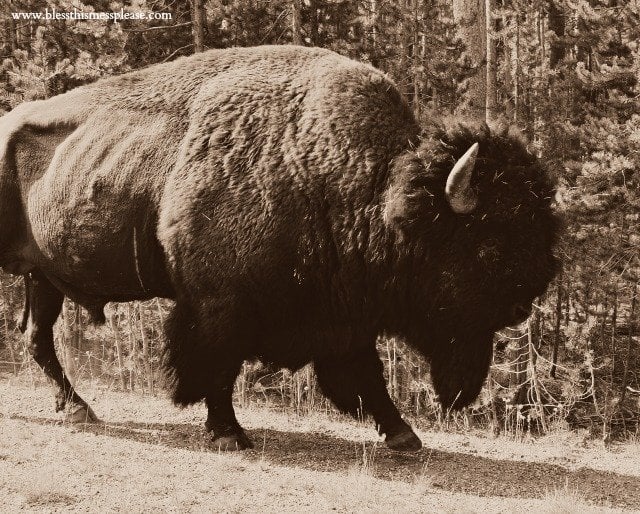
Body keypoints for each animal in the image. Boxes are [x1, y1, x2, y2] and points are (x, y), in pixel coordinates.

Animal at [0, 46, 556, 450]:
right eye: (489, 245)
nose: (524, 302)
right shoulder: (218, 307)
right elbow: (216, 368)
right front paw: (229, 434)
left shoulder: (343, 316)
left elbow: (366, 374)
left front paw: (403, 435)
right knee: (39, 338)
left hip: (42, 276)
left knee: (37, 337)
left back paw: (78, 408)